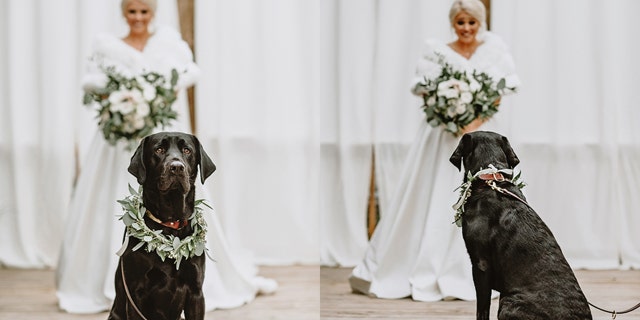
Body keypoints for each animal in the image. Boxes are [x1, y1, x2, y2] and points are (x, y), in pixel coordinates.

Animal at [106, 131, 214, 318]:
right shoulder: (136, 294)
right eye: (159, 149)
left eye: (187, 150)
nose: (177, 167)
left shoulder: (196, 292)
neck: (170, 225)